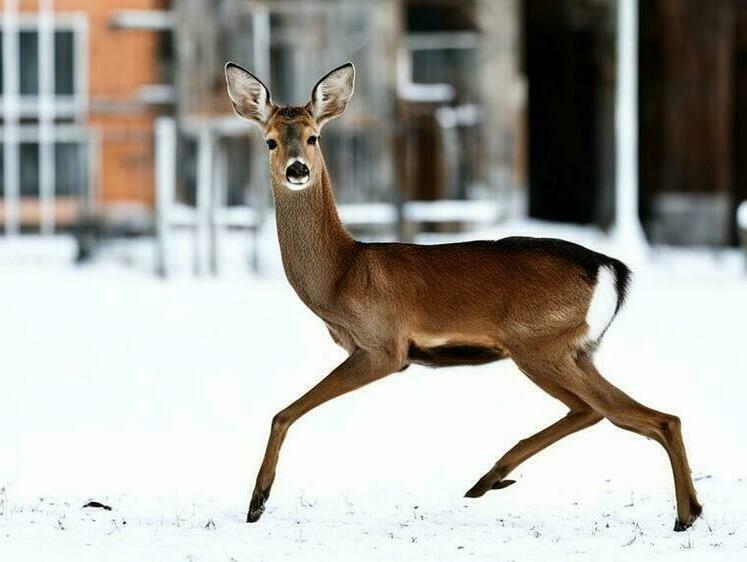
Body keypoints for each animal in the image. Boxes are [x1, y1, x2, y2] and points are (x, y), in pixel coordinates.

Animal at [225, 61, 704, 528]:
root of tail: (611, 268)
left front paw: (256, 503)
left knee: (651, 418)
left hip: (542, 344)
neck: (341, 273)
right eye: (270, 141)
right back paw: (489, 479)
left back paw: (685, 515)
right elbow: (285, 411)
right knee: (599, 412)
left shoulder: (384, 347)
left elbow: (283, 412)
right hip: (571, 349)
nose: (298, 169)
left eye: (314, 136)